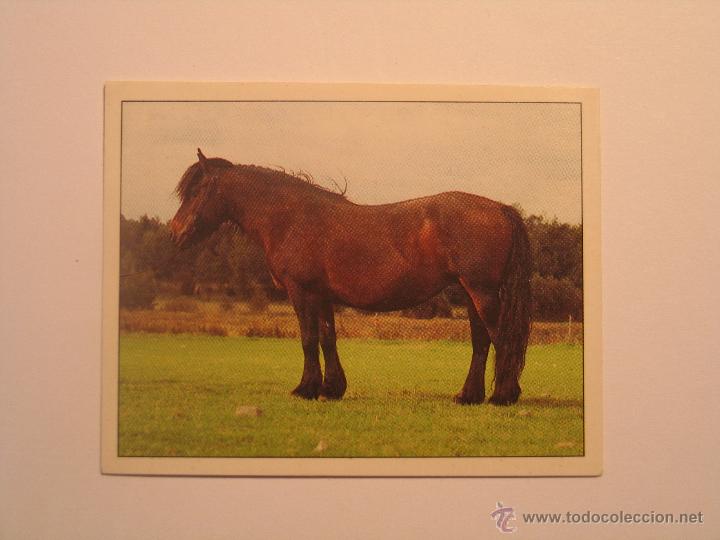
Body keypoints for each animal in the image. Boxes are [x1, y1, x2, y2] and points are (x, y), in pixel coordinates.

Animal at [170, 149, 532, 405]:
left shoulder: (301, 292)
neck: (289, 219)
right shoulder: (322, 295)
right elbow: (328, 339)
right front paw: (331, 388)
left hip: (482, 292)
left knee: (500, 338)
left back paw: (503, 396)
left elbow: (308, 339)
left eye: (196, 190)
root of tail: (500, 208)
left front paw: (305, 388)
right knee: (481, 341)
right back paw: (468, 396)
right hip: (472, 293)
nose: (175, 233)